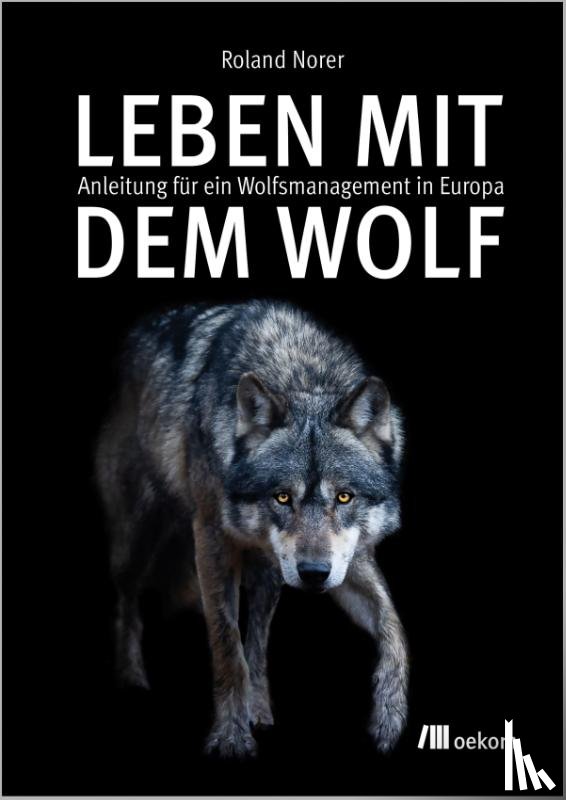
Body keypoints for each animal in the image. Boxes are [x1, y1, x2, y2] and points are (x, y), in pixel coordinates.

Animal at [95, 300, 408, 758]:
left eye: (344, 497)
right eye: (282, 497)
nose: (314, 574)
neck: (299, 372)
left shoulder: (348, 558)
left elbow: (393, 624)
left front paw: (390, 715)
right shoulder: (211, 538)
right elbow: (228, 646)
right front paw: (230, 735)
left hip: (269, 573)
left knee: (258, 639)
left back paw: (259, 709)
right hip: (138, 540)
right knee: (128, 600)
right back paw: (131, 678)